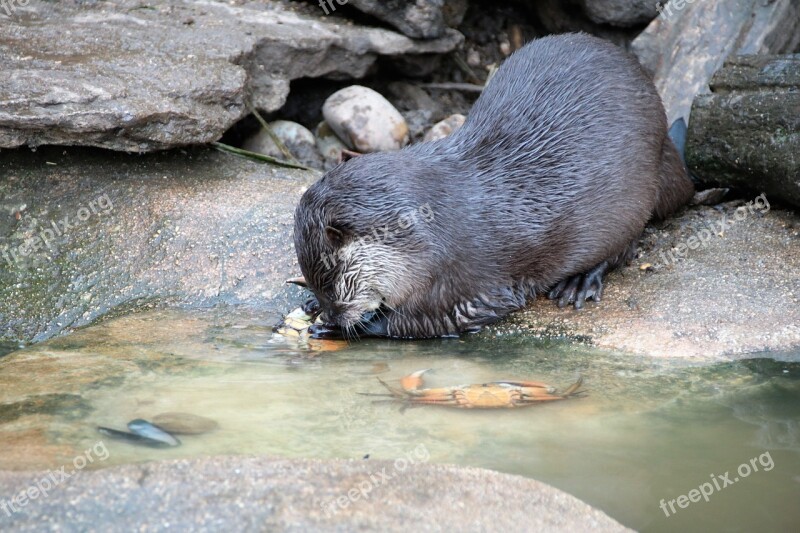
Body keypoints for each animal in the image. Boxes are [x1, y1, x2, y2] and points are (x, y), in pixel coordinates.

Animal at [294, 33, 692, 338]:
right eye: (321, 286)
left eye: (332, 284)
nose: (332, 313)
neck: (431, 232)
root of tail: (664, 140)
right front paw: (311, 304)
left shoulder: (468, 284)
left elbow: (429, 321)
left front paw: (345, 326)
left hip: (633, 198)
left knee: (625, 246)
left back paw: (580, 281)